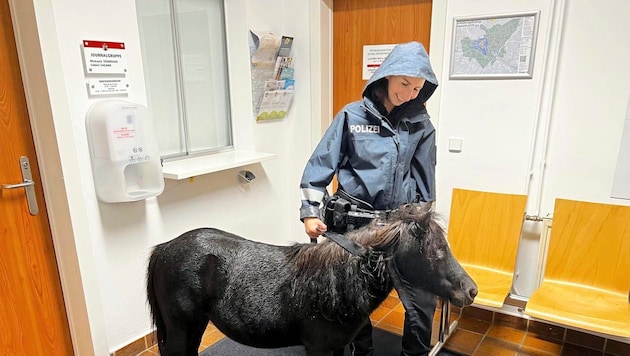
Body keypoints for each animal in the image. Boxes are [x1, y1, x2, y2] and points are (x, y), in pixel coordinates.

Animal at [146, 204, 476, 354]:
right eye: (435, 251)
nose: (471, 290)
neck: (335, 286)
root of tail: (164, 248)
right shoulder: (318, 349)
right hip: (180, 328)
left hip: (195, 326)